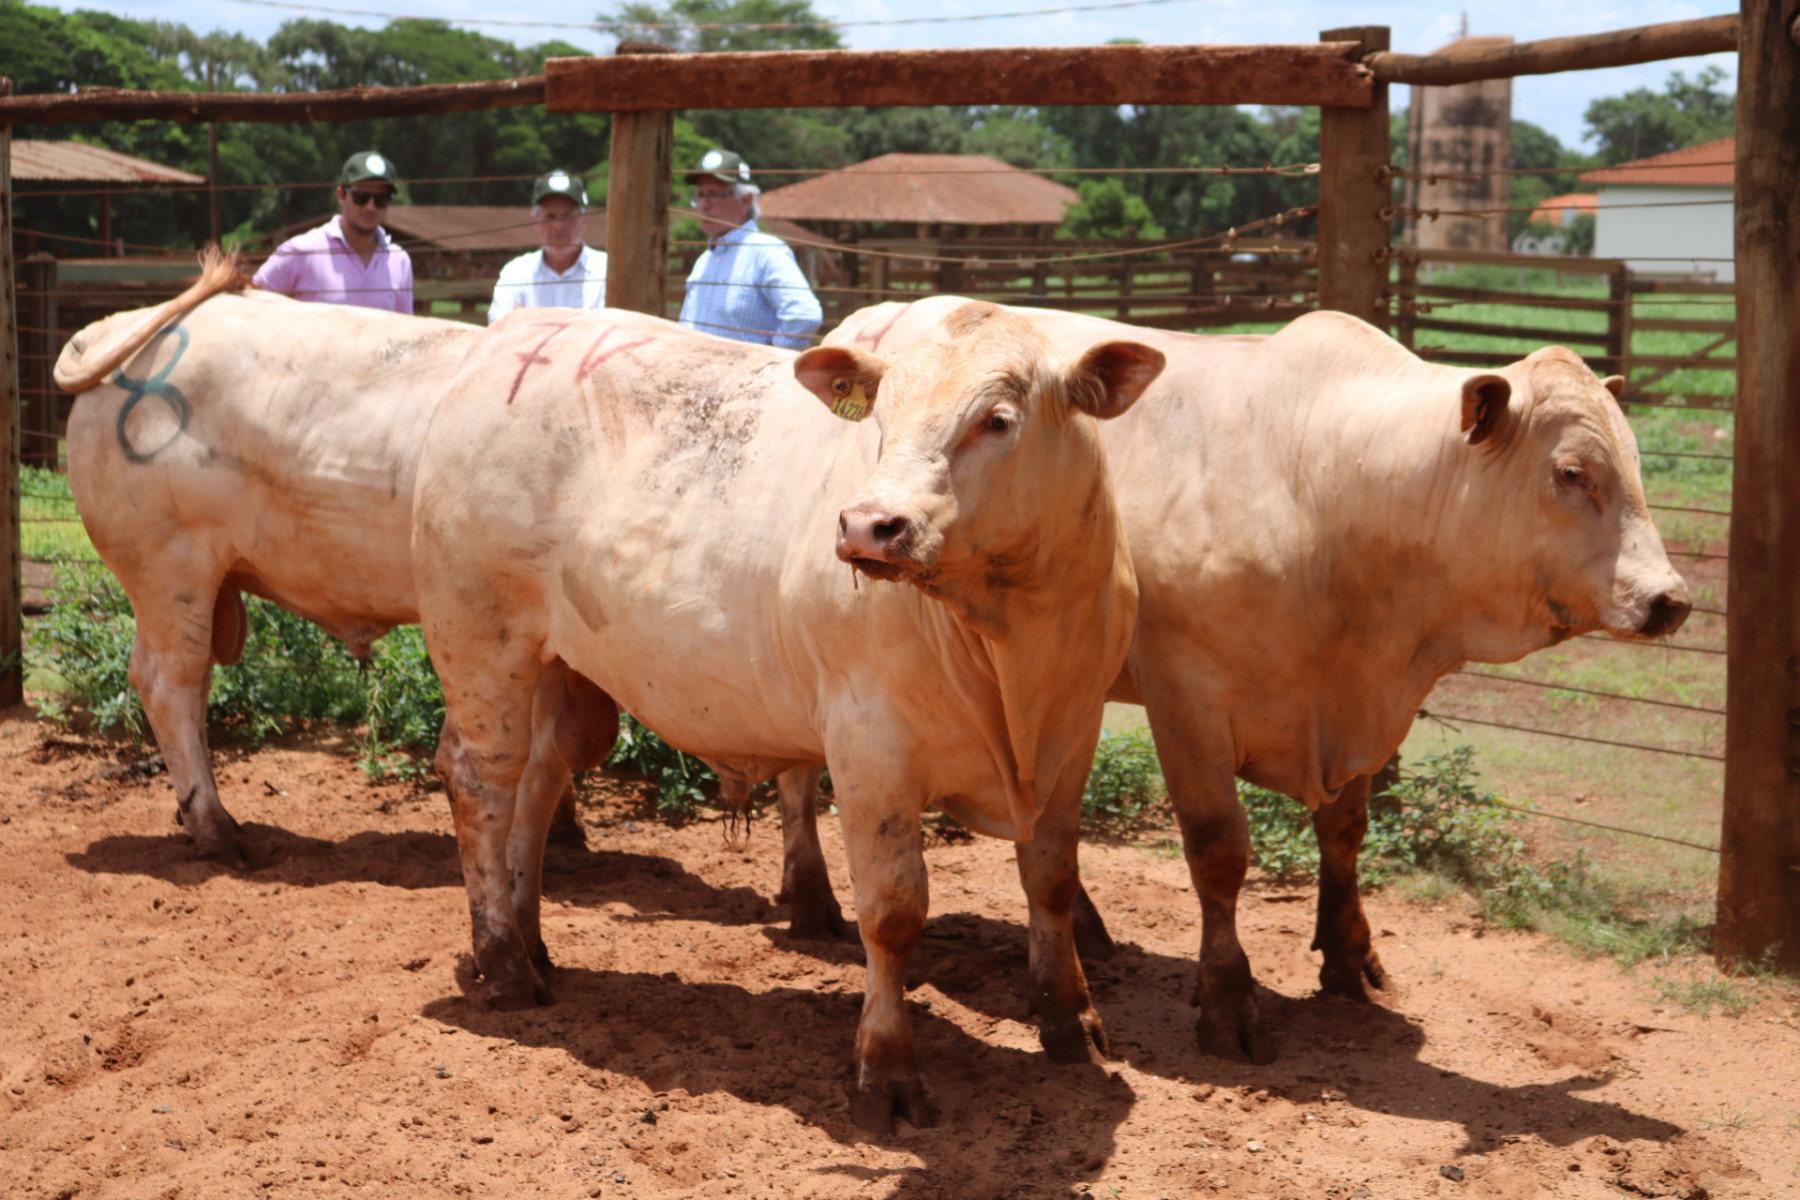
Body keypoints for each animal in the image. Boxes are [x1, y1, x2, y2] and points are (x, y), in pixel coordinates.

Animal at [412, 305, 1159, 1129]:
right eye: (882, 419)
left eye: (998, 420)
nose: (869, 525)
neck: (1015, 645)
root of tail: (516, 330)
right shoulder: (871, 750)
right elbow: (893, 912)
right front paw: (886, 1067)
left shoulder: (1074, 738)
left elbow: (1052, 881)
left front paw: (1071, 1021)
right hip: (483, 644)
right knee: (483, 784)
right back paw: (505, 963)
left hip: (556, 671)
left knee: (538, 785)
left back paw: (530, 941)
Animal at [788, 298, 1684, 1057]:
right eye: (1570, 471)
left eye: (1637, 462)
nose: (1669, 599)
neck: (1325, 486)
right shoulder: (1188, 698)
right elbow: (1219, 852)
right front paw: (1227, 1001)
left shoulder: (1352, 713)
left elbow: (1344, 832)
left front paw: (1349, 958)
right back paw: (812, 901)